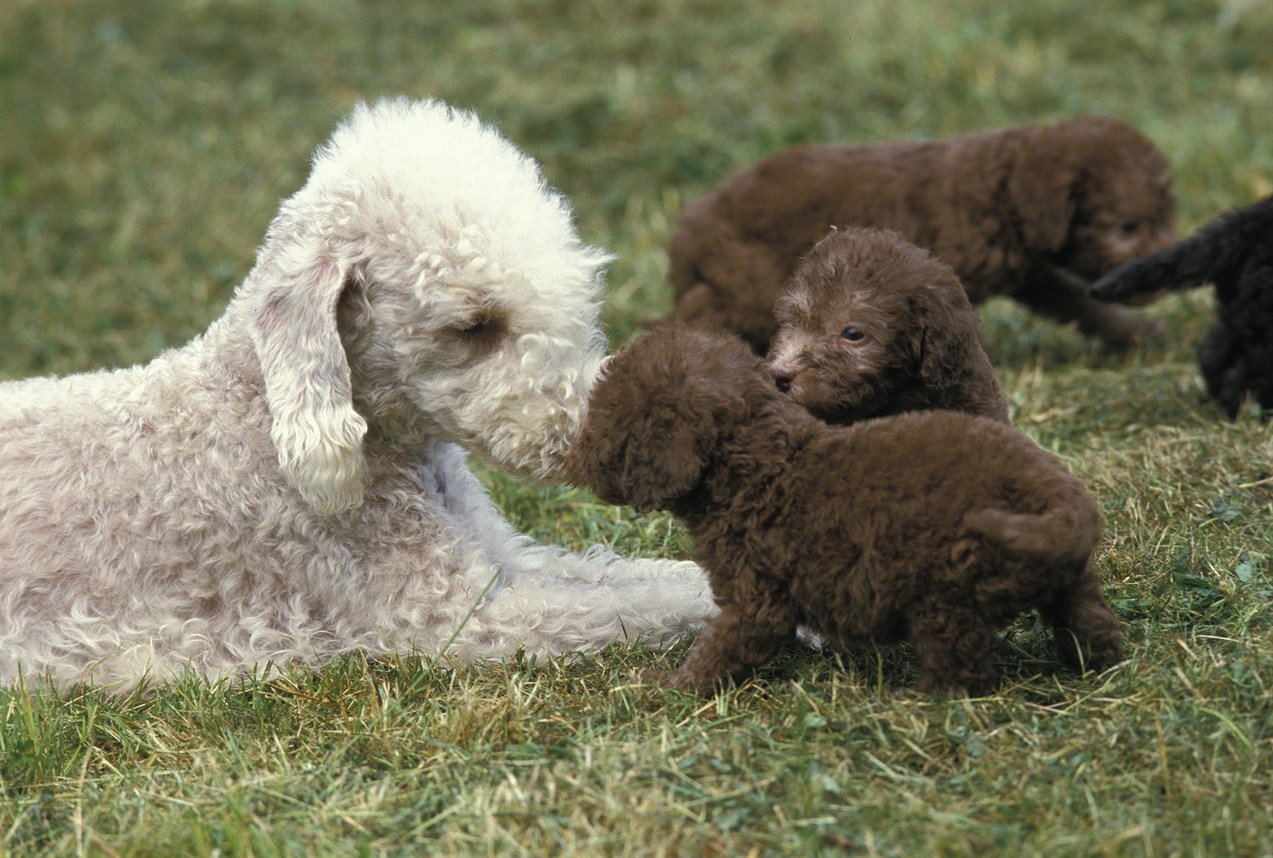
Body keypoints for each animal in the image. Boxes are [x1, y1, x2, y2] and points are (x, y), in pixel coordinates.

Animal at [0, 96, 717, 692]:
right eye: (474, 325)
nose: (607, 434)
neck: (254, 410)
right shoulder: (451, 617)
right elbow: (632, 604)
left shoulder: (504, 558)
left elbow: (644, 577)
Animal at [570, 328, 1125, 692]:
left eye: (606, 424)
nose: (576, 454)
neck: (758, 460)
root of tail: (1054, 492)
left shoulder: (756, 595)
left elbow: (721, 646)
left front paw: (666, 684)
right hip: (1069, 579)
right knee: (1090, 621)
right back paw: (1101, 667)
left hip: (945, 593)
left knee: (961, 671)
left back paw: (913, 699)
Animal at [661, 117, 1176, 351]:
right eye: (1125, 228)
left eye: (1166, 219)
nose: (1164, 270)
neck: (997, 191)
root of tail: (686, 235)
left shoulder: (1028, 272)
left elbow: (1075, 300)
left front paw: (1136, 333)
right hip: (749, 279)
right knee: (698, 311)